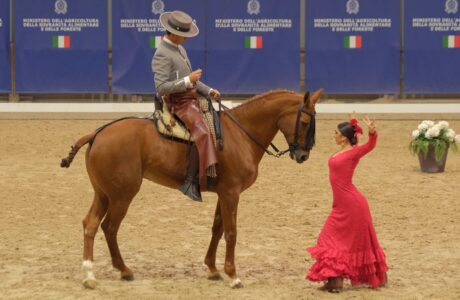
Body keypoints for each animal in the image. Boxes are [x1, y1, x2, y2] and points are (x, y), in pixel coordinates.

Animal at [61, 88, 324, 288]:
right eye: (305, 122)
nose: (303, 155)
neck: (240, 134)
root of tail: (97, 133)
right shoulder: (231, 194)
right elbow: (231, 233)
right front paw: (233, 275)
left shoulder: (224, 193)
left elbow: (217, 228)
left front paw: (213, 268)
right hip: (122, 195)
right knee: (109, 227)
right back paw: (122, 269)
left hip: (103, 194)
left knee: (91, 225)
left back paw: (90, 274)